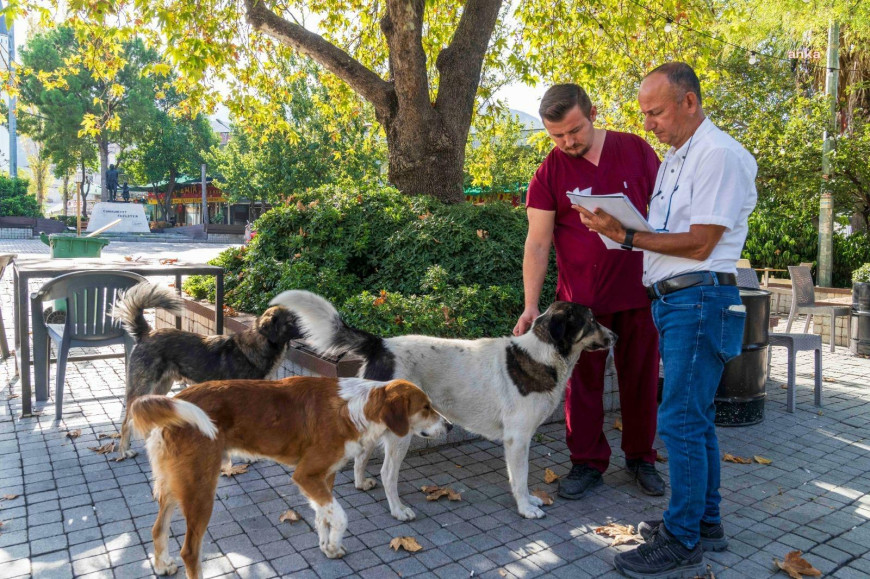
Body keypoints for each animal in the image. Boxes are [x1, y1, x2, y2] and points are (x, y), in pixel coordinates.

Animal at [110, 284, 302, 460]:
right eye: (292, 320)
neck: (259, 347)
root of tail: (147, 334)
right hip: (144, 387)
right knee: (127, 421)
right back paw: (124, 450)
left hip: (162, 386)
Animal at [129, 376, 450, 576]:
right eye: (426, 407)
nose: (449, 427)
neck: (356, 408)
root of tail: (177, 397)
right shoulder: (305, 475)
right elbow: (342, 517)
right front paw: (333, 543)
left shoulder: (323, 477)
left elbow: (324, 517)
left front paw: (328, 547)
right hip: (201, 489)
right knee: (189, 551)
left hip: (176, 485)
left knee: (157, 529)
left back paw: (162, 565)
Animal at [270, 290, 616, 520]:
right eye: (591, 320)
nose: (614, 335)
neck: (542, 356)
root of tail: (382, 344)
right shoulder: (517, 440)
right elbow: (520, 478)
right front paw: (526, 507)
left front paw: (531, 500)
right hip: (400, 435)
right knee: (387, 473)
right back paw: (398, 510)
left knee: (361, 457)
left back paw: (360, 483)